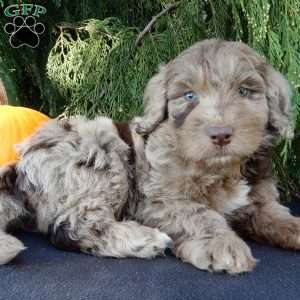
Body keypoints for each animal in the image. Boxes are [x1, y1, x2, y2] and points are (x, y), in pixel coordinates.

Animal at [0, 38, 296, 274]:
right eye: (189, 96)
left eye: (244, 91)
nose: (221, 134)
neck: (219, 169)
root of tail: (20, 168)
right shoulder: (157, 201)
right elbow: (201, 214)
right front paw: (223, 245)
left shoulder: (259, 197)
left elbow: (274, 213)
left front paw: (294, 228)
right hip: (102, 154)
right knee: (72, 226)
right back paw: (144, 239)